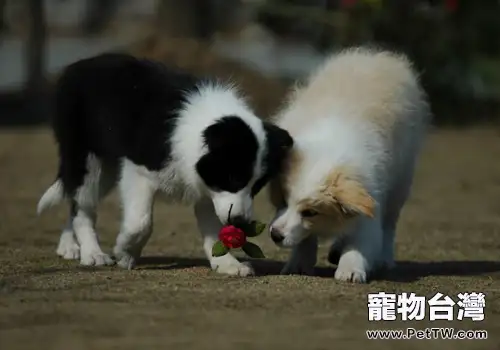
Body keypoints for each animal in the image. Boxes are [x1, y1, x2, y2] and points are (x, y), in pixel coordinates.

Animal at [38, 52, 292, 276]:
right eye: (233, 177)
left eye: (257, 186)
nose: (241, 222)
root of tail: (77, 66)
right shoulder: (139, 170)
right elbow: (141, 222)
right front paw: (125, 253)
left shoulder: (208, 185)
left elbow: (213, 227)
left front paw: (227, 264)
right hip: (87, 160)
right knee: (82, 204)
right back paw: (92, 253)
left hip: (106, 170)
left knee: (75, 200)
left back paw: (69, 246)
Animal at [270, 46, 430, 284]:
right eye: (282, 200)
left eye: (310, 212)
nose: (275, 235)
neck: (329, 148)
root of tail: (377, 57)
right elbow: (306, 238)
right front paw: (299, 263)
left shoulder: (370, 199)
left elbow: (361, 241)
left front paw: (351, 268)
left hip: (400, 183)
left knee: (389, 225)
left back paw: (383, 259)